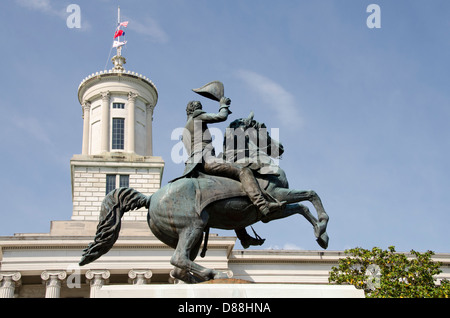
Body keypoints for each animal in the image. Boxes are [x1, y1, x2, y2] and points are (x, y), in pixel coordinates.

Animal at [79, 113, 328, 284]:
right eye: (264, 128)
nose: (281, 147)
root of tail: (150, 198)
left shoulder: (275, 208)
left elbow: (303, 208)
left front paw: (321, 236)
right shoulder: (275, 199)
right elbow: (311, 195)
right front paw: (323, 226)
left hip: (190, 235)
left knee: (178, 268)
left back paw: (201, 278)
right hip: (193, 226)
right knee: (177, 260)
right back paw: (214, 273)